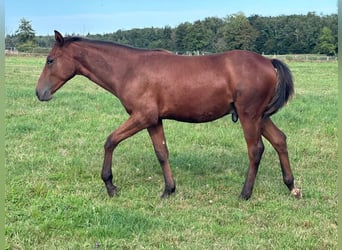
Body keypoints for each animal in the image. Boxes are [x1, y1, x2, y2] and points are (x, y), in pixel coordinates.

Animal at [36, 30, 300, 200]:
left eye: (50, 60)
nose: (40, 93)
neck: (129, 69)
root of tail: (269, 62)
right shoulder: (154, 121)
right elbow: (162, 153)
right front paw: (168, 190)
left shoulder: (142, 117)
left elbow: (110, 141)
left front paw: (110, 185)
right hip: (260, 117)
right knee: (280, 140)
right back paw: (291, 186)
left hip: (249, 116)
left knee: (256, 150)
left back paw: (245, 193)